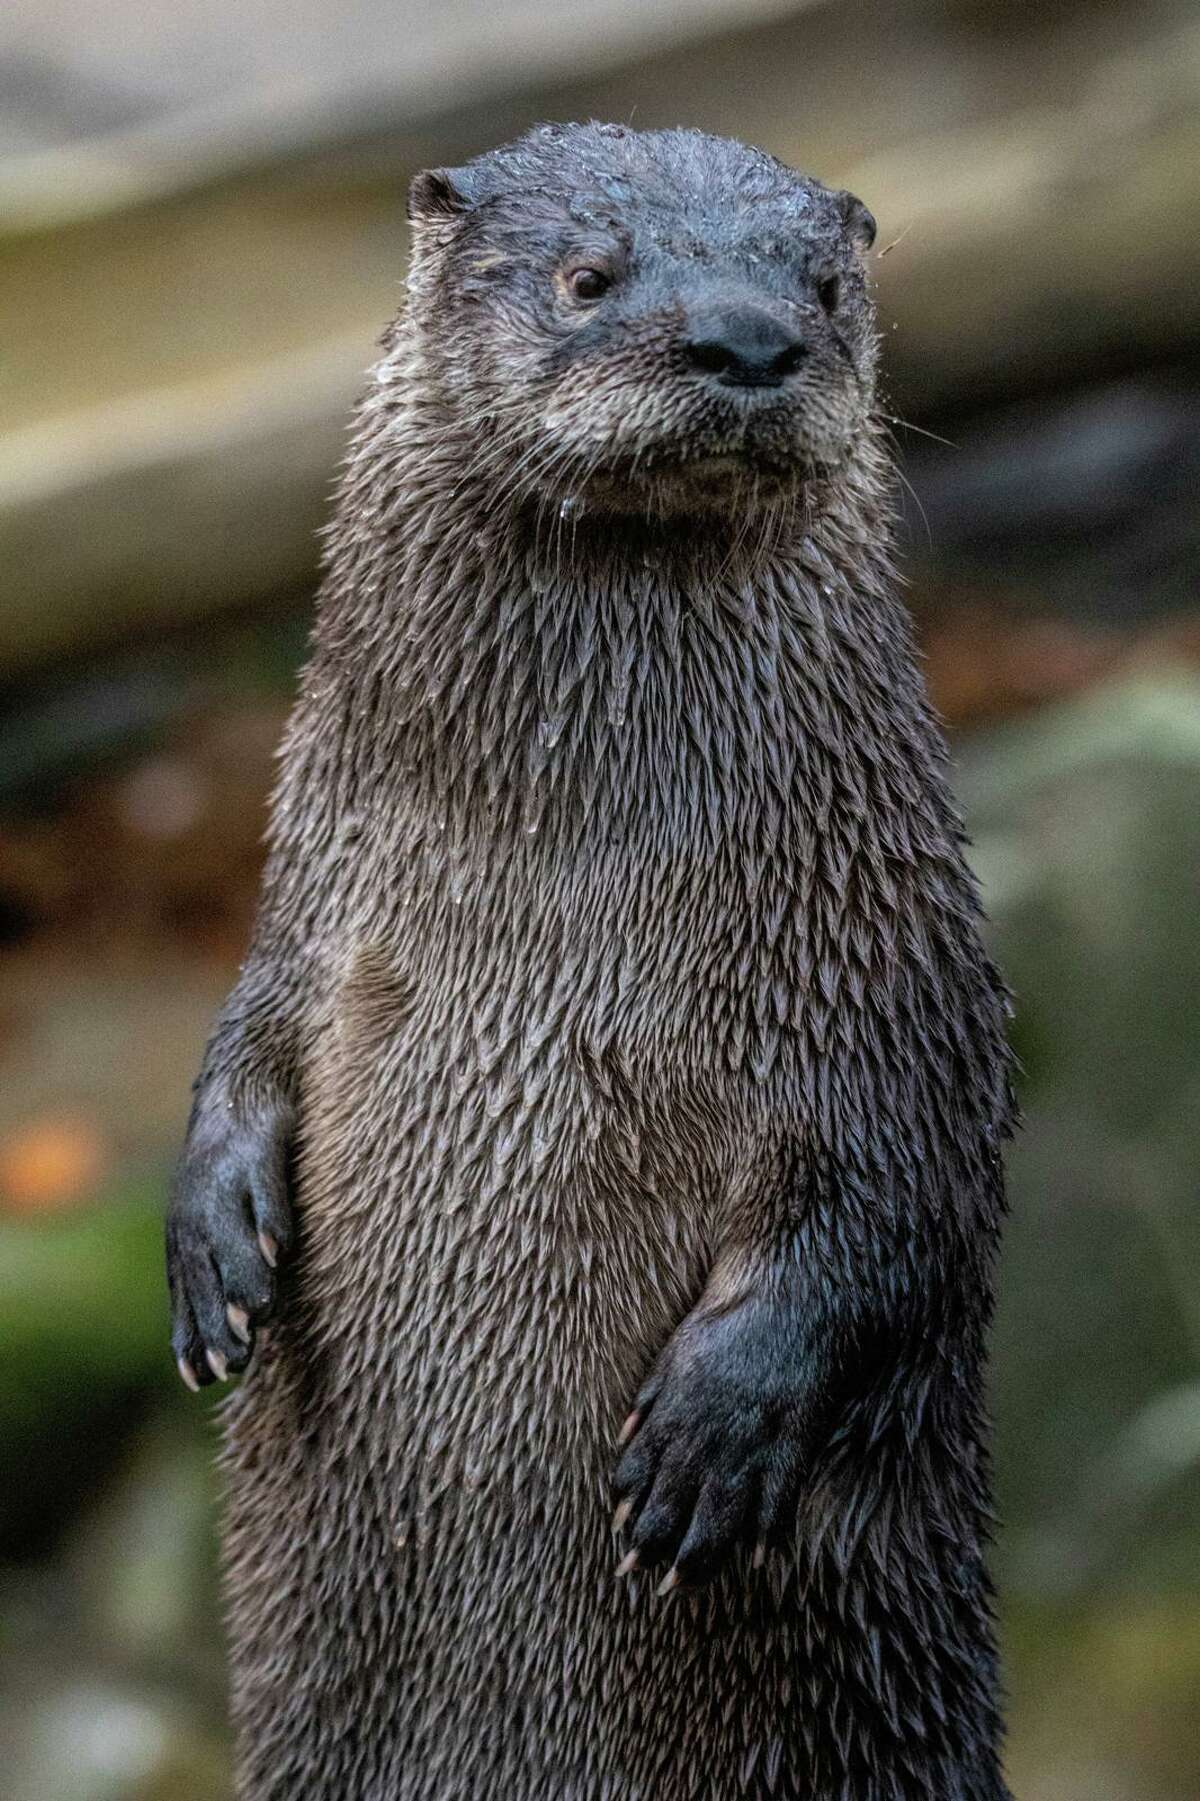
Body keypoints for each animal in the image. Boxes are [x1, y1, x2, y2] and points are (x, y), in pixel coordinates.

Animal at [165, 126, 1009, 1801]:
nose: (746, 339)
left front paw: (711, 1432)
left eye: (825, 286)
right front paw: (214, 1250)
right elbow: (246, 1038)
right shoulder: (314, 904)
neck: (559, 900)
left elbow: (899, 1191)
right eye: (588, 276)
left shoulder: (892, 982)